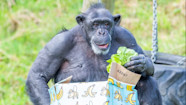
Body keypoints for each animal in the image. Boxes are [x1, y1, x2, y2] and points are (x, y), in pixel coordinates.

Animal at [25, 3, 161, 105]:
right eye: (95, 24)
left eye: (106, 23)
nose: (102, 32)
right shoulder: (58, 43)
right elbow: (38, 75)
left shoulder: (128, 38)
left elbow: (148, 64)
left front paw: (140, 63)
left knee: (146, 82)